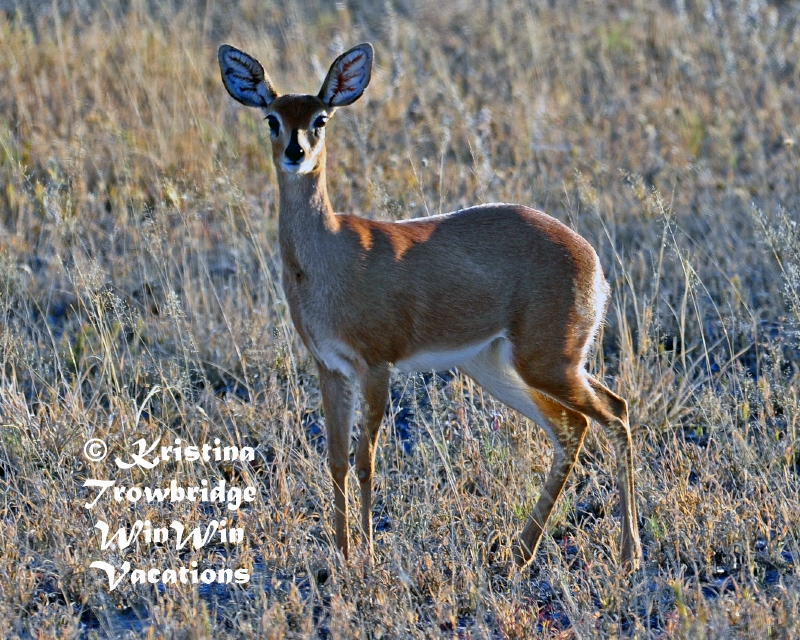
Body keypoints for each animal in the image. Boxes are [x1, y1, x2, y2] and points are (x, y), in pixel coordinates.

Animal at [218, 42, 642, 571]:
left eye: (321, 118)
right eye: (272, 118)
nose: (297, 153)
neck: (328, 254)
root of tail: (593, 261)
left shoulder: (376, 366)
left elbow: (365, 459)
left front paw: (368, 555)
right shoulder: (329, 367)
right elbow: (335, 460)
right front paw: (342, 554)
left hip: (549, 362)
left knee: (615, 414)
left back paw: (628, 554)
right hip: (499, 365)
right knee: (575, 425)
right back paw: (520, 552)